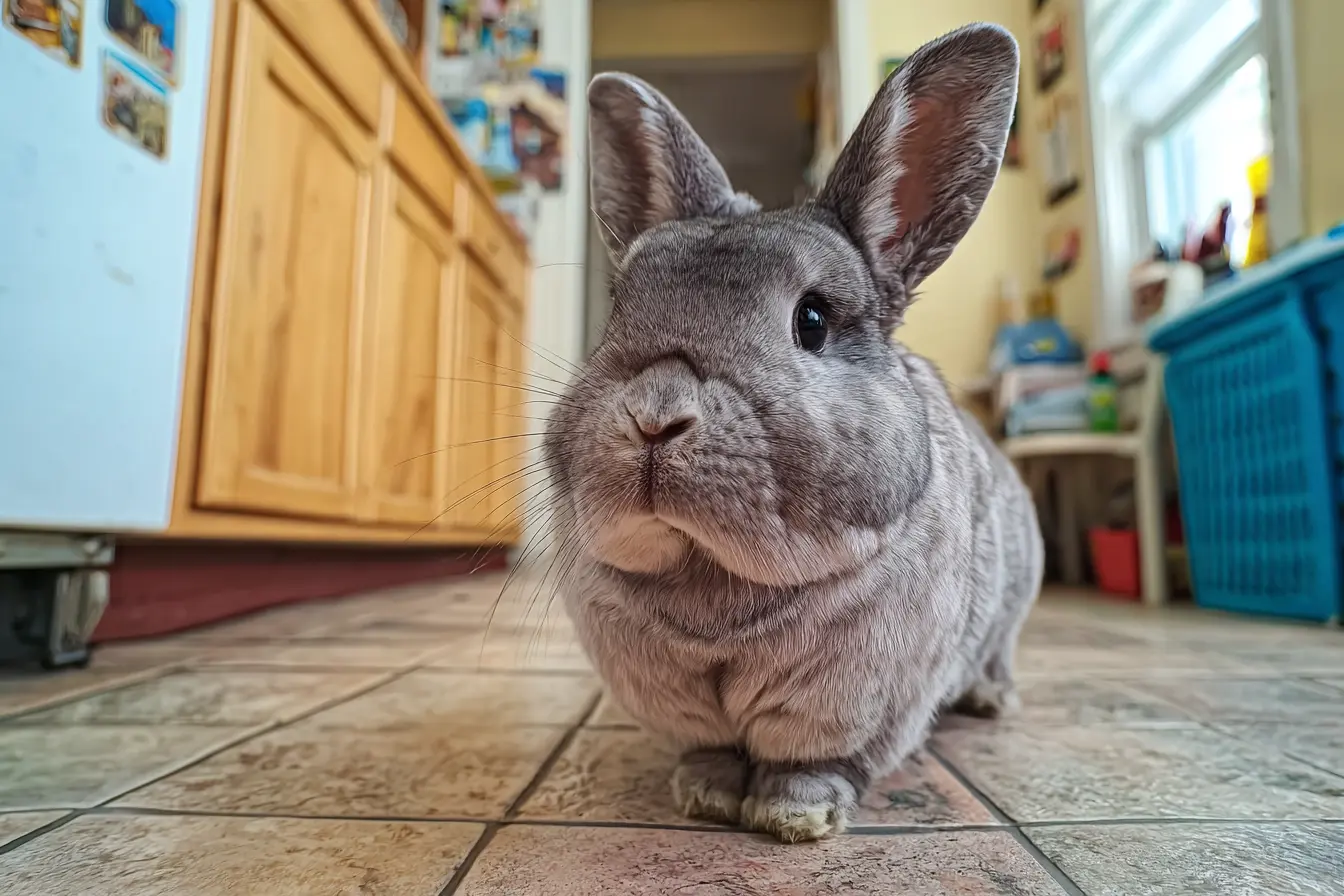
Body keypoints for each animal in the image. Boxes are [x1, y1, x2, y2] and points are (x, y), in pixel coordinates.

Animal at [541, 23, 1043, 844]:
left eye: (812, 320)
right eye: (617, 310)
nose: (655, 414)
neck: (712, 584)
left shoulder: (854, 697)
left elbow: (813, 762)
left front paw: (794, 818)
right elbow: (710, 752)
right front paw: (704, 798)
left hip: (1009, 612)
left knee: (999, 655)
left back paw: (993, 701)